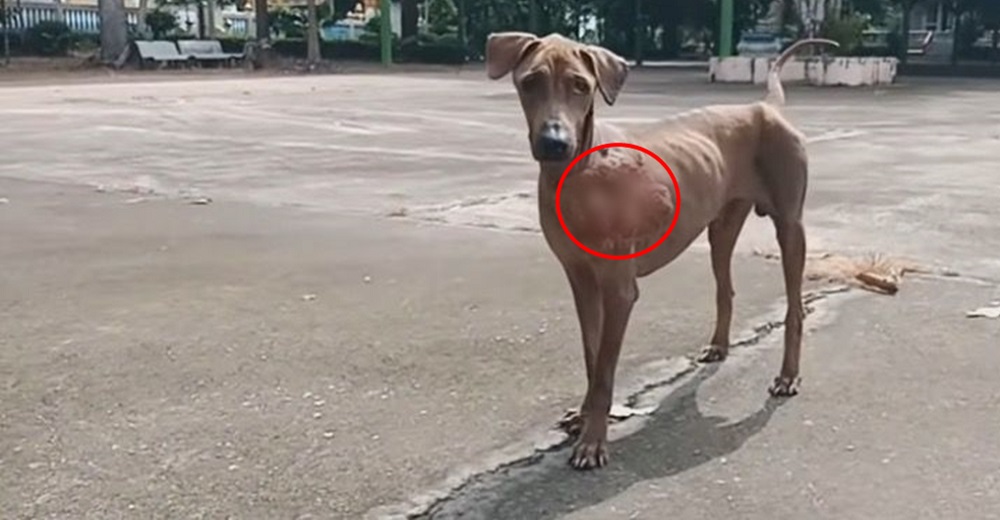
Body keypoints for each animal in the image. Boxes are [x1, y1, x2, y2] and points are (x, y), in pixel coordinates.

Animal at [484, 33, 836, 472]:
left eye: (581, 86)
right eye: (530, 81)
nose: (554, 143)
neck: (579, 174)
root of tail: (765, 106)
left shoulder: (619, 289)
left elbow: (605, 371)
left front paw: (593, 441)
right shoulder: (581, 280)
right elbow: (592, 357)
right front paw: (583, 417)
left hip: (791, 227)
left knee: (795, 308)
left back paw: (788, 376)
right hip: (721, 227)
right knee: (725, 287)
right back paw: (719, 345)